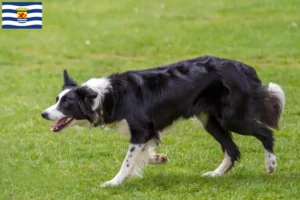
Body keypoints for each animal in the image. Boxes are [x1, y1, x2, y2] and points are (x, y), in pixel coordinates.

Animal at [41, 54, 284, 186]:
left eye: (66, 103)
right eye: (57, 100)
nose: (43, 114)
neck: (104, 97)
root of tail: (244, 67)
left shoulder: (140, 131)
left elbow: (127, 161)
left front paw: (114, 182)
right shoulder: (149, 132)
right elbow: (143, 154)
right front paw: (158, 159)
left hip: (232, 118)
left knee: (265, 133)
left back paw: (270, 165)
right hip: (210, 121)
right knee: (232, 150)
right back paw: (215, 174)